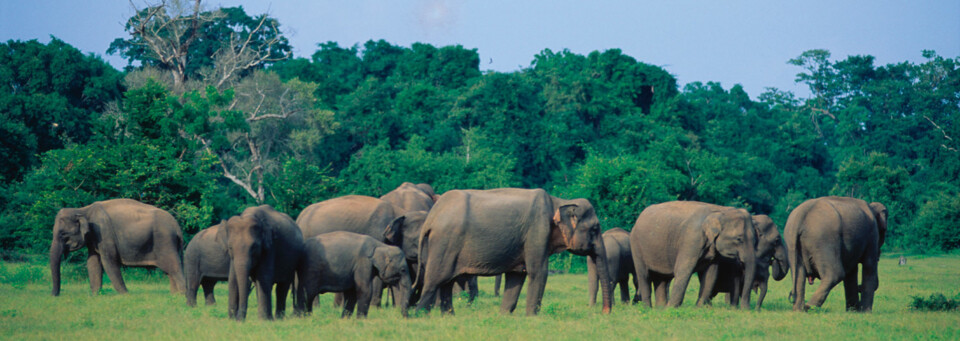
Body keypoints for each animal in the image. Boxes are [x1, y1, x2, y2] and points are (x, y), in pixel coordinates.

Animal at [48, 198, 185, 296]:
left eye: (62, 234)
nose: (54, 295)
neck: (84, 210)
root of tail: (176, 225)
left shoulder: (104, 233)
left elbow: (108, 261)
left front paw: (126, 295)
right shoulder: (94, 237)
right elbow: (93, 261)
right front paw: (95, 295)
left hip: (165, 241)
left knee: (174, 266)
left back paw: (182, 294)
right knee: (169, 270)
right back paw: (174, 294)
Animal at [414, 187, 616, 314]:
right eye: (595, 229)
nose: (605, 313)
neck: (558, 201)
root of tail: (432, 216)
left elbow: (517, 276)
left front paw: (503, 315)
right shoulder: (537, 231)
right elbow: (538, 272)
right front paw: (532, 317)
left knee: (446, 283)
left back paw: (448, 316)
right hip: (444, 243)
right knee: (434, 282)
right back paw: (418, 316)